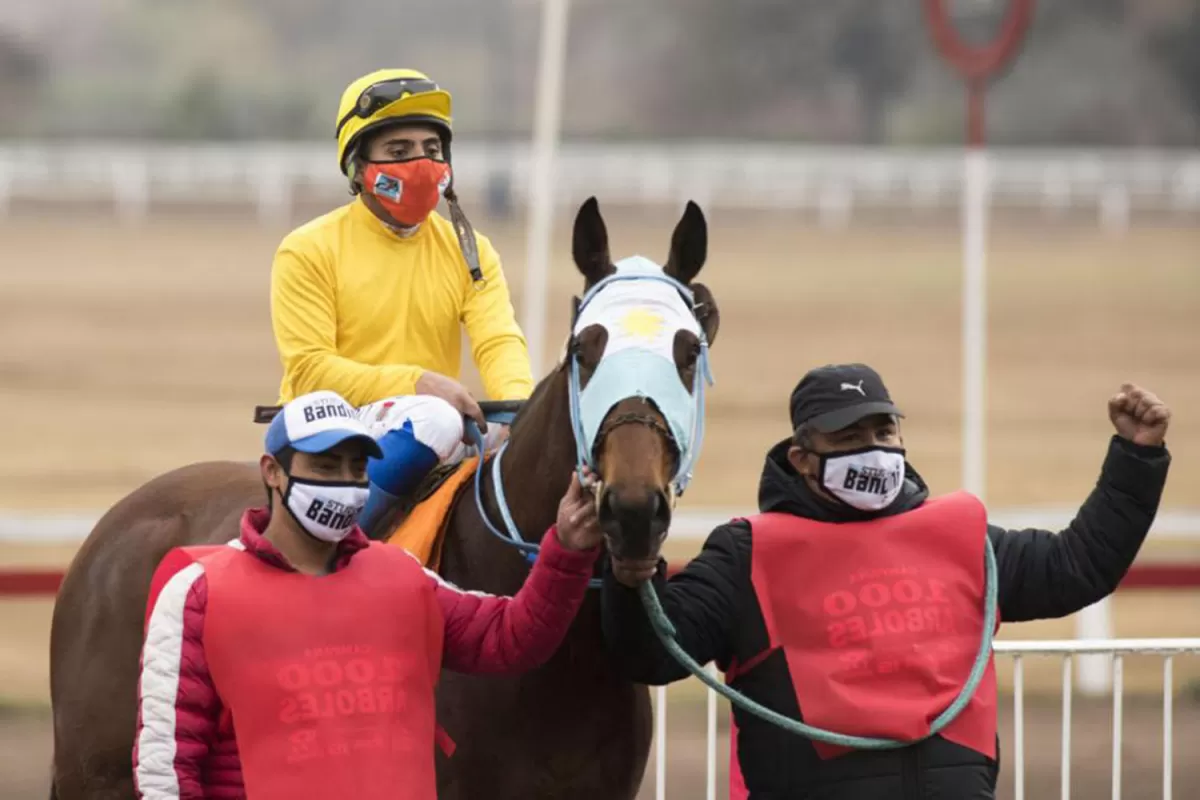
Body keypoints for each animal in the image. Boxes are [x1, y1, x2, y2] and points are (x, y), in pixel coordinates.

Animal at [46, 195, 715, 800]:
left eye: (689, 352)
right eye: (584, 349)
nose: (632, 508)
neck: (559, 667)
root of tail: (115, 528)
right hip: (97, 774)